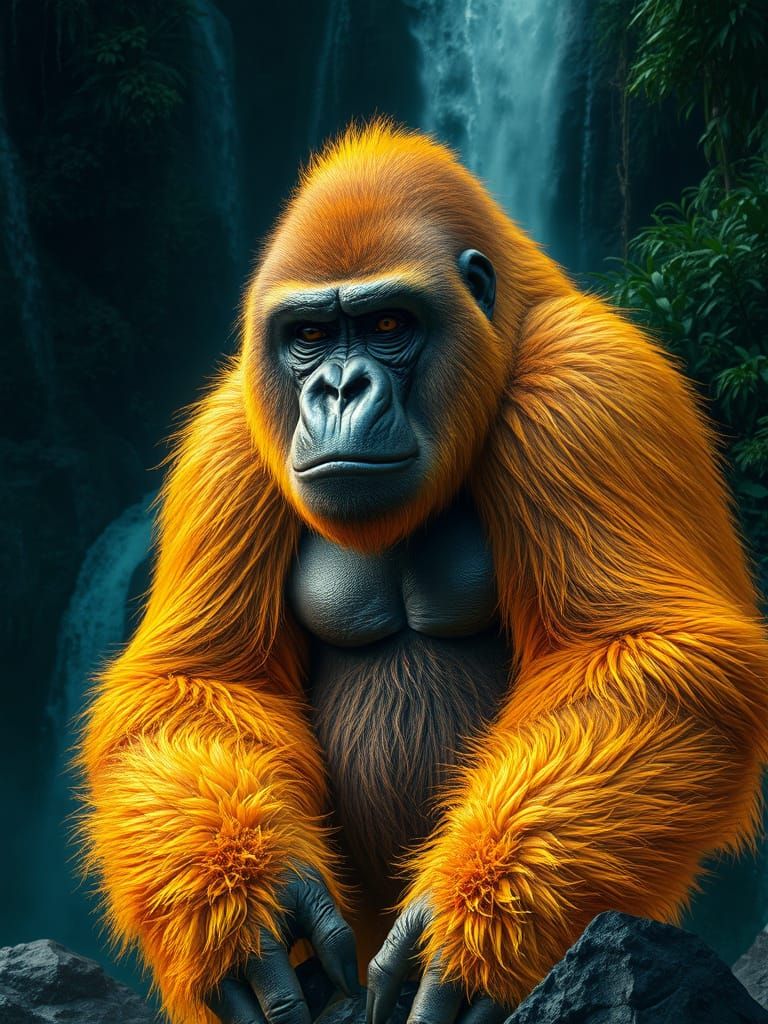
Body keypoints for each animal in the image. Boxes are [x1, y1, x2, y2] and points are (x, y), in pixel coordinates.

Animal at [77, 121, 768, 1024]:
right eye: (309, 337)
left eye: (387, 324)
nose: (339, 387)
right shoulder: (229, 433)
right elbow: (198, 685)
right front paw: (240, 911)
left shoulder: (591, 382)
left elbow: (645, 652)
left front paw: (474, 926)